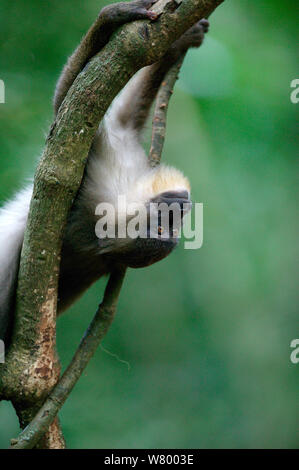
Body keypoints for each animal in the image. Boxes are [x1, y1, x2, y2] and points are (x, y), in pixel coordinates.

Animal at [0, 0, 210, 346]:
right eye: (166, 219)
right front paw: (175, 38)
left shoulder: (89, 192)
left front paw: (109, 19)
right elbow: (117, 108)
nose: (180, 207)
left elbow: (66, 103)